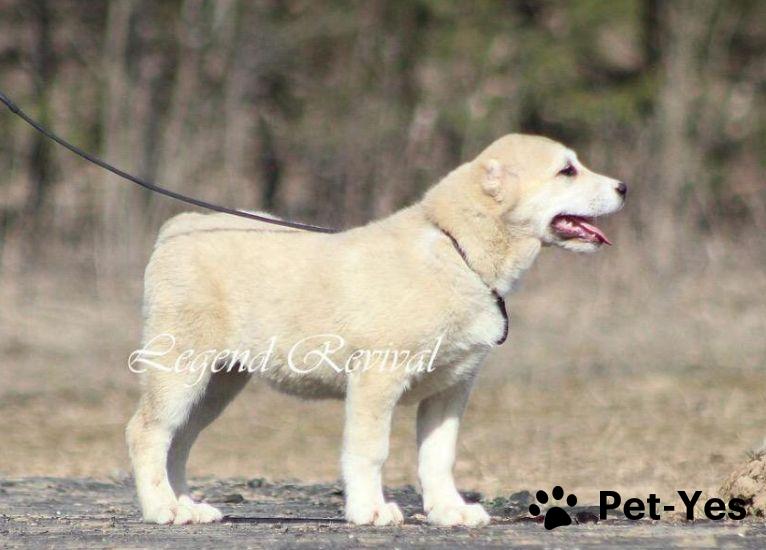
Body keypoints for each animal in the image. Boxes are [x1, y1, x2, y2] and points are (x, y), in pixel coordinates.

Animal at [126, 134, 626, 527]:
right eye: (567, 170)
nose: (624, 187)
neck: (457, 249)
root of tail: (179, 226)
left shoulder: (452, 388)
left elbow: (438, 455)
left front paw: (449, 511)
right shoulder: (377, 377)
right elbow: (371, 450)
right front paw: (369, 509)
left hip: (219, 382)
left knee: (179, 438)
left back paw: (186, 505)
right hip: (181, 367)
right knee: (148, 431)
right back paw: (162, 508)